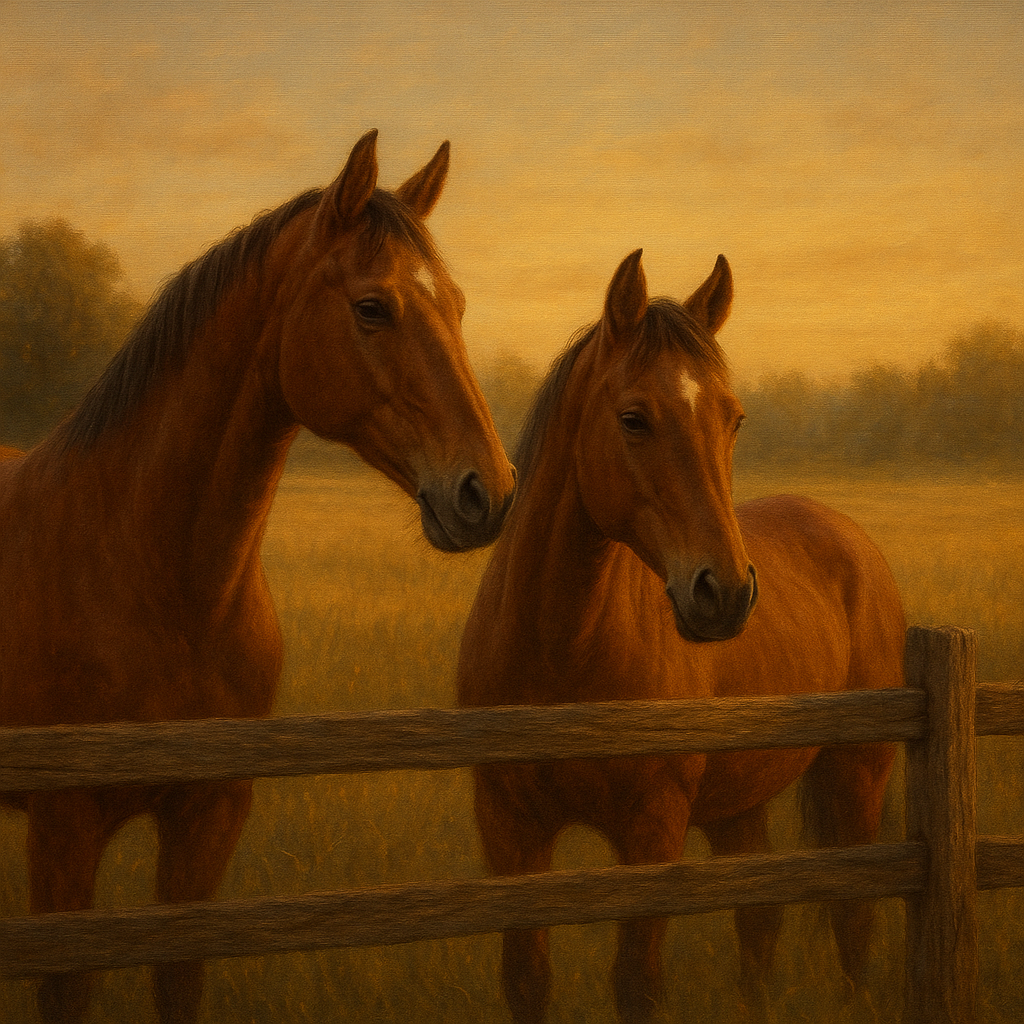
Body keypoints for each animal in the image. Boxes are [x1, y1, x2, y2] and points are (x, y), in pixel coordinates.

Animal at [0, 129, 515, 1024]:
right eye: (372, 306)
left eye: (454, 303)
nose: (487, 490)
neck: (154, 578)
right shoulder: (63, 829)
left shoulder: (209, 814)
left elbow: (180, 977)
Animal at [457, 250, 905, 1023]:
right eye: (634, 418)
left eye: (735, 418)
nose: (723, 594)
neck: (560, 652)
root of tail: (851, 538)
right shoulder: (510, 827)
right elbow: (527, 978)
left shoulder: (653, 830)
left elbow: (638, 979)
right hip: (741, 805)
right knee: (760, 923)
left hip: (856, 775)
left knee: (852, 923)